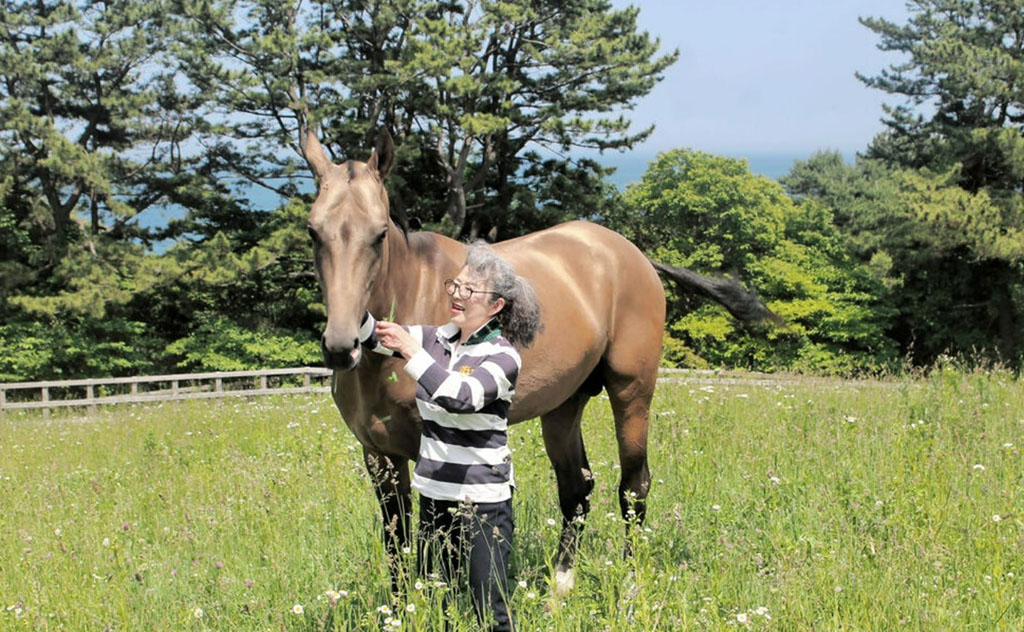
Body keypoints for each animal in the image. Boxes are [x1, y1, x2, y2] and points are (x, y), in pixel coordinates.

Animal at [307, 130, 770, 594]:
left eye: (380, 234)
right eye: (313, 232)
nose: (341, 345)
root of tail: (634, 255)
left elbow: (439, 540)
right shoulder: (379, 455)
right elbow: (398, 542)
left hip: (632, 393)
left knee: (634, 486)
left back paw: (631, 583)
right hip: (563, 406)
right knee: (577, 488)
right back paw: (562, 584)